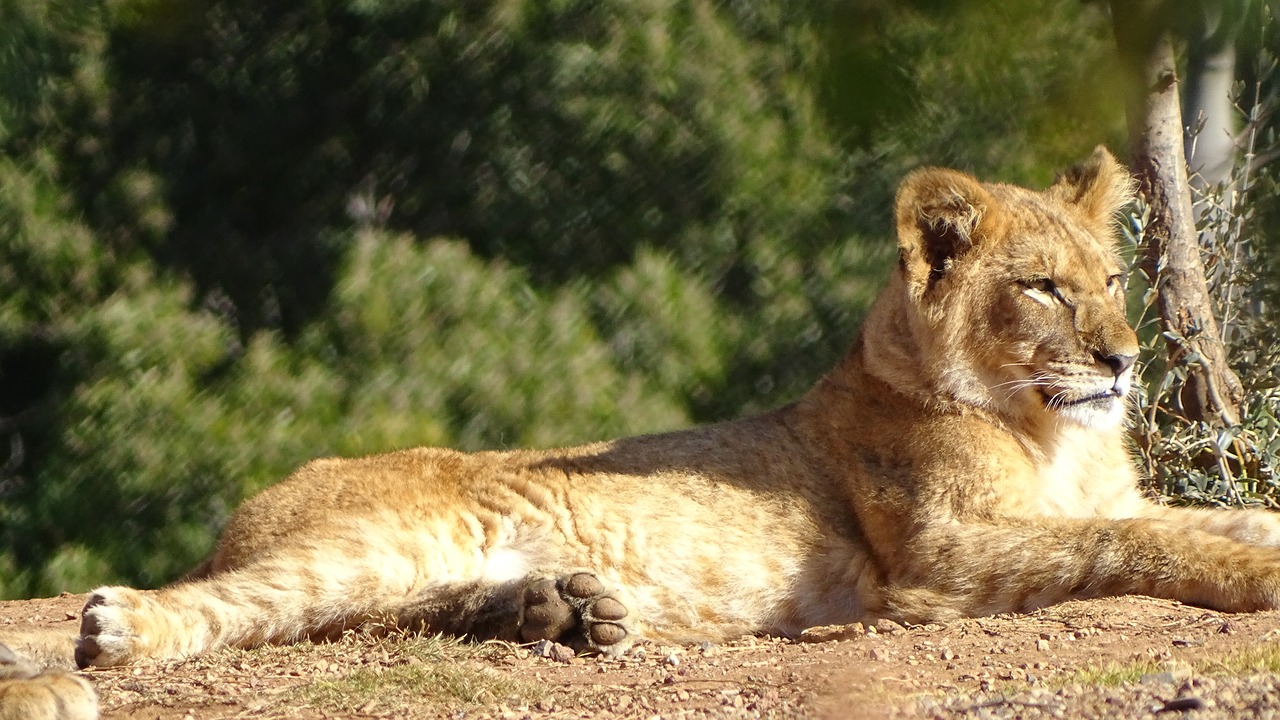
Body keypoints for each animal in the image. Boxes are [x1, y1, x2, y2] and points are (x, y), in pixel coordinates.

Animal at [64, 144, 1280, 666]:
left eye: (1113, 280)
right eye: (1042, 287)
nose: (1124, 360)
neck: (1051, 431)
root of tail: (250, 507)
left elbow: (1194, 518)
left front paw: (1257, 535)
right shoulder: (942, 560)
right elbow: (1131, 544)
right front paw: (1255, 574)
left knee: (373, 612)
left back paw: (562, 613)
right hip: (373, 538)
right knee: (254, 603)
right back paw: (120, 629)